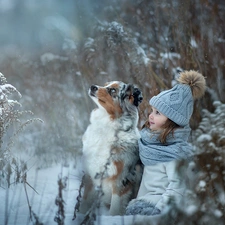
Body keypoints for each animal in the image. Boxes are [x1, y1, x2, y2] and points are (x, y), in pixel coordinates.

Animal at [78, 81, 143, 216]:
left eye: (113, 90)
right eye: (105, 84)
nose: (92, 86)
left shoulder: (121, 180)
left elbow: (115, 209)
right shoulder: (90, 174)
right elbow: (84, 202)